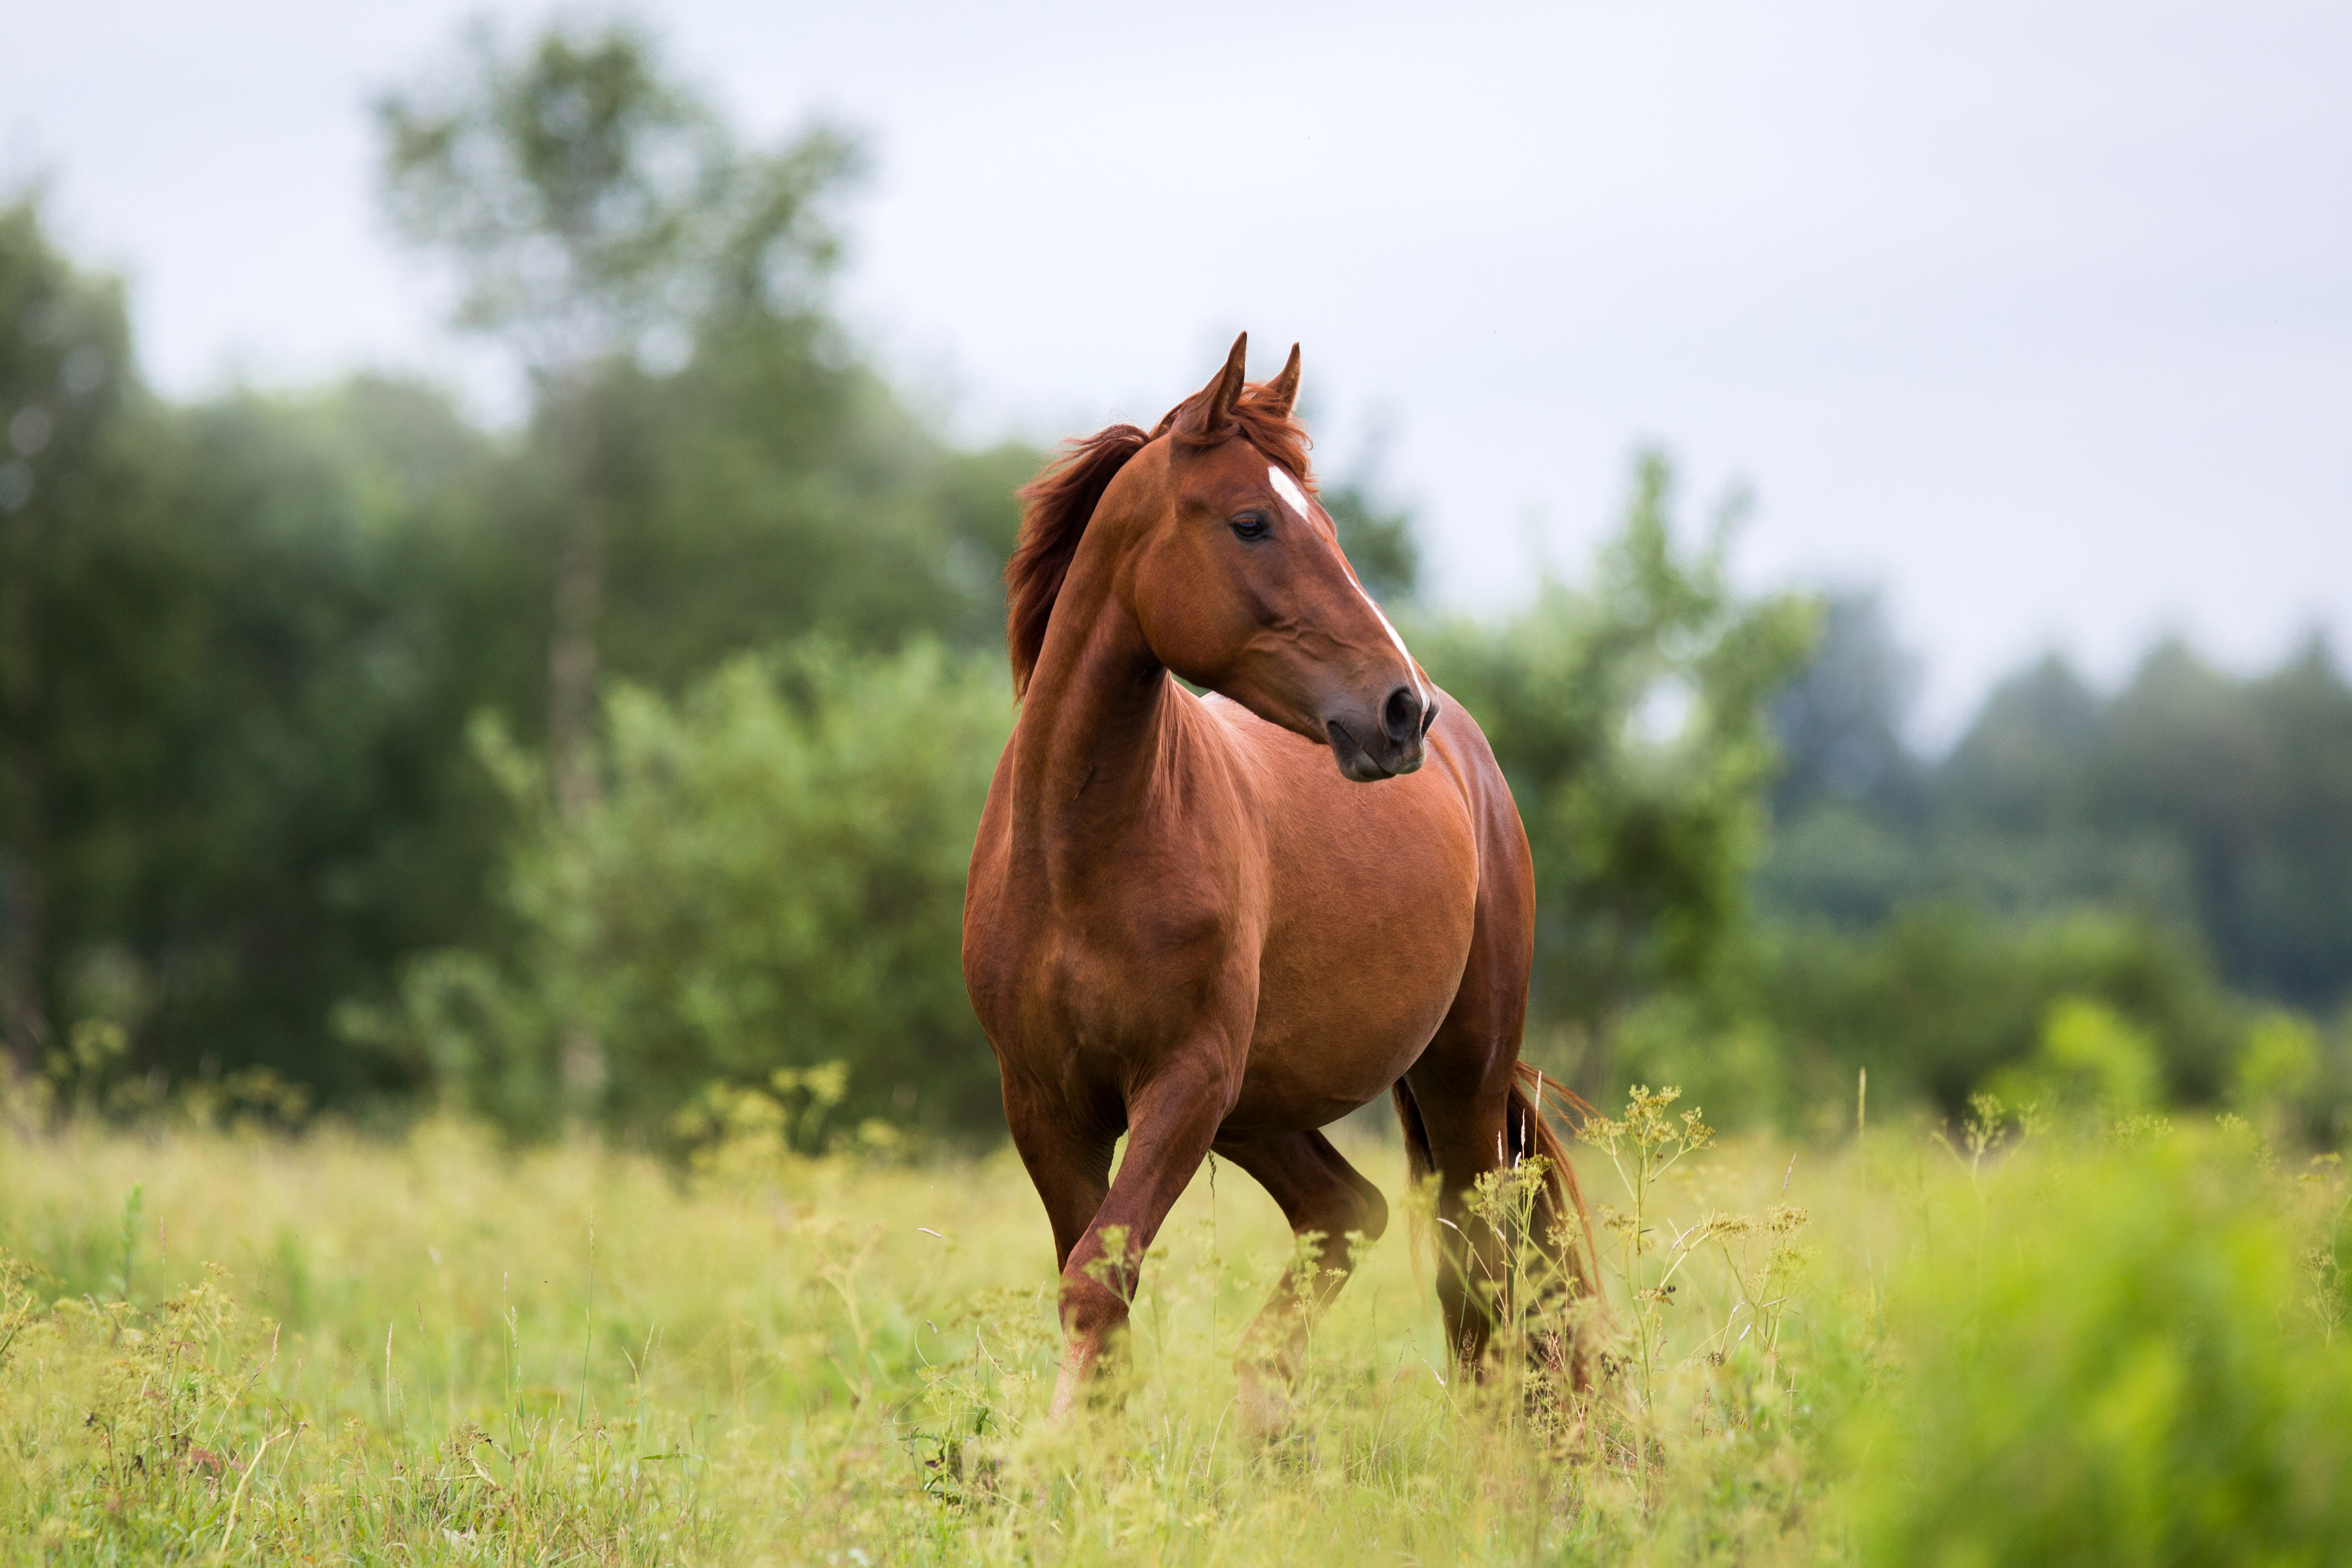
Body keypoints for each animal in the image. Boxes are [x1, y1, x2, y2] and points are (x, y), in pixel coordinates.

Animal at [959, 338, 1599, 1420]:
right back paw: (1263, 1405)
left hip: (1452, 1079)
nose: (1398, 712)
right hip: (1261, 1109)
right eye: (1250, 522)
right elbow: (1096, 1292)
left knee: (1479, 1268)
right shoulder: (1046, 1104)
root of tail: (1471, 762)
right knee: (1350, 1211)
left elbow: (1098, 1281)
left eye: (1324, 524)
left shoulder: (1183, 1083)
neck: (1078, 855)